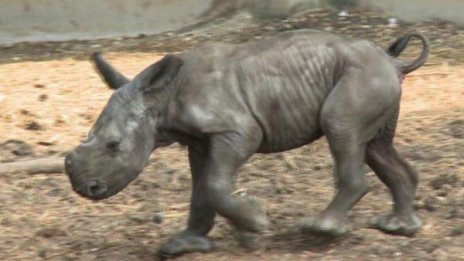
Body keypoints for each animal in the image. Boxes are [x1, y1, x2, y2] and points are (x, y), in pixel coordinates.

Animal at [63, 30, 430, 256]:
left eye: (113, 145)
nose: (86, 188)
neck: (160, 98)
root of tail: (393, 61)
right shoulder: (199, 141)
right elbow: (201, 189)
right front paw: (185, 245)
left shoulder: (237, 131)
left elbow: (214, 185)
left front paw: (254, 225)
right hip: (373, 80)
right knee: (374, 146)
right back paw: (399, 228)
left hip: (362, 77)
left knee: (341, 129)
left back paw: (321, 229)